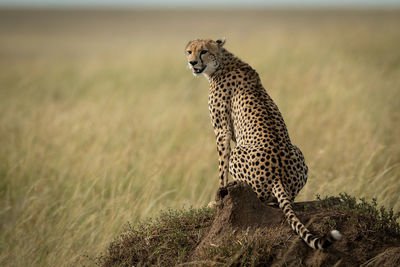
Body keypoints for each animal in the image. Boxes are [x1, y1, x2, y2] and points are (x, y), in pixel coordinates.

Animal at [186, 38, 342, 250]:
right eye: (189, 51)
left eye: (203, 51)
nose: (192, 62)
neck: (222, 62)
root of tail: (278, 176)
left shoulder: (222, 130)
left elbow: (221, 168)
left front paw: (215, 201)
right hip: (297, 151)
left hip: (239, 152)